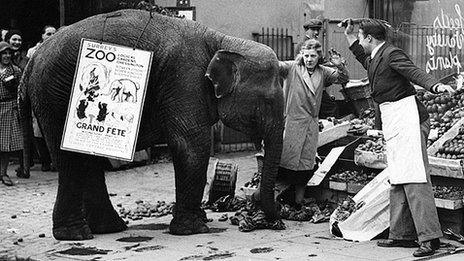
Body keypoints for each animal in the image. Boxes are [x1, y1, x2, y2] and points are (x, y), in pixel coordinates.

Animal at [19, 9, 282, 239]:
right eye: (268, 102)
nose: (274, 210)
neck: (223, 41)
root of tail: (33, 58)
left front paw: (200, 220)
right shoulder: (184, 80)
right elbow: (192, 144)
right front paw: (194, 229)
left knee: (88, 159)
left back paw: (110, 228)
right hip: (56, 96)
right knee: (71, 160)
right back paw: (75, 234)